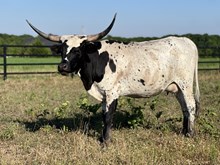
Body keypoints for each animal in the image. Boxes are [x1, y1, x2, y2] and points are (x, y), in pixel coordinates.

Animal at [27, 13, 199, 143]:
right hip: (176, 87)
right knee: (184, 108)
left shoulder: (112, 93)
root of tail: (186, 40)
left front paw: (106, 141)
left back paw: (190, 134)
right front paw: (103, 138)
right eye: (62, 49)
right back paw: (184, 132)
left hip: (185, 84)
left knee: (191, 106)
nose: (62, 67)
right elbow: (104, 114)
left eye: (78, 50)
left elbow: (108, 116)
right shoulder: (103, 94)